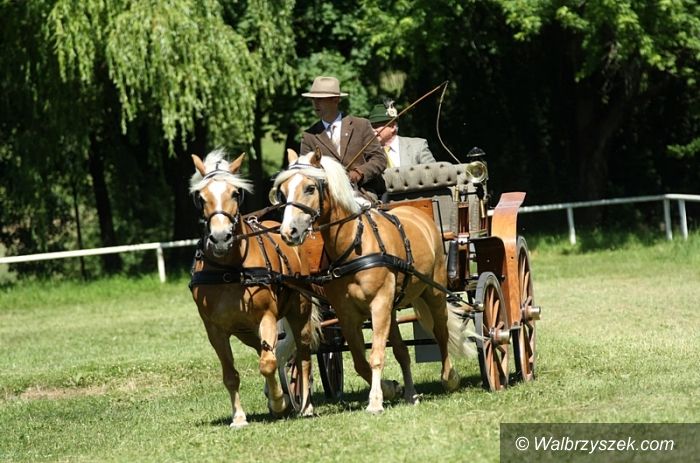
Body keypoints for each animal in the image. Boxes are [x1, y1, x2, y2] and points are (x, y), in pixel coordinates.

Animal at [189, 149, 319, 427]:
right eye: (201, 197)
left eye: (235, 193)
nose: (220, 238)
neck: (230, 270)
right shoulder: (214, 330)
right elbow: (231, 374)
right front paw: (239, 417)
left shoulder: (266, 317)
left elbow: (268, 363)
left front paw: (279, 402)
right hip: (247, 332)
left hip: (299, 313)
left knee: (302, 355)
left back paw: (305, 405)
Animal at [272, 148, 472, 413]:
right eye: (282, 192)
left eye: (310, 188)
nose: (288, 232)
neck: (354, 244)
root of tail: (415, 213)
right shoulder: (347, 314)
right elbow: (360, 361)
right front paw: (390, 388)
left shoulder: (378, 304)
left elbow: (376, 355)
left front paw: (375, 401)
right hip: (392, 308)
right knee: (402, 351)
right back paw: (411, 393)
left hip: (433, 292)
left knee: (441, 332)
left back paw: (449, 377)